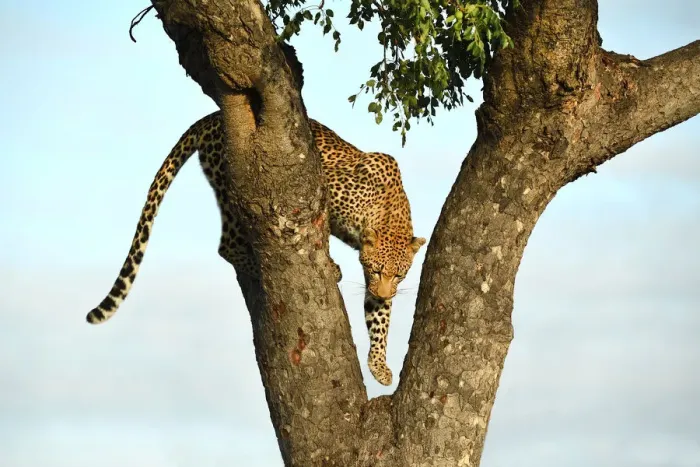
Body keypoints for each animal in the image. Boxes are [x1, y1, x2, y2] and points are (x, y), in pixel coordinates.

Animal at [85, 111, 425, 386]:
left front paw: (379, 365)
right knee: (228, 245)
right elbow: (319, 226)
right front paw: (332, 266)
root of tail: (211, 116)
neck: (388, 213)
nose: (385, 291)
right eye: (376, 270)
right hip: (234, 186)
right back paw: (259, 267)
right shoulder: (321, 189)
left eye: (399, 276)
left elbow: (380, 319)